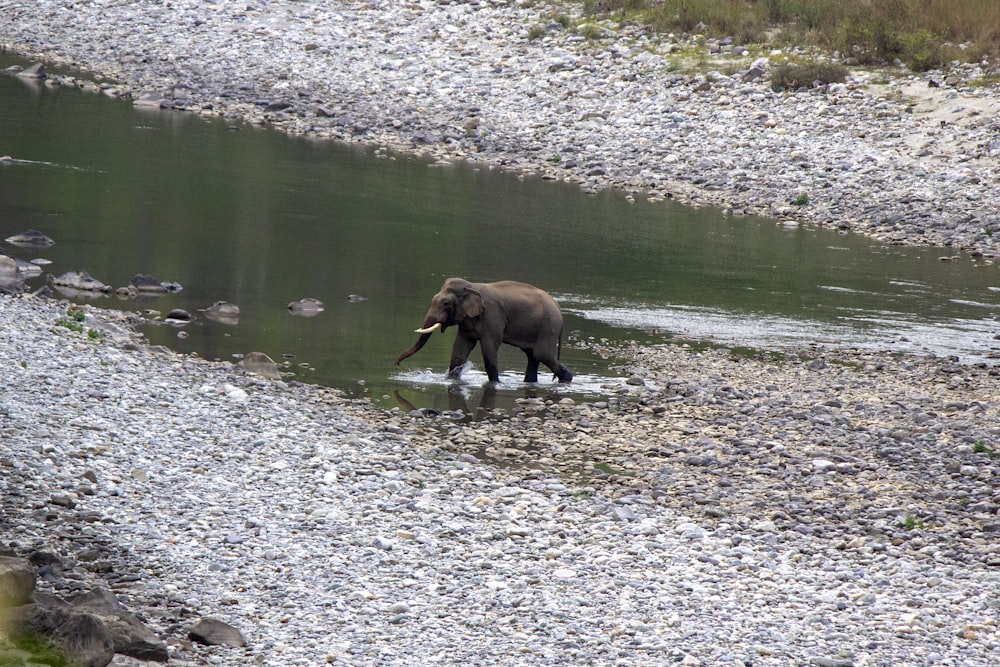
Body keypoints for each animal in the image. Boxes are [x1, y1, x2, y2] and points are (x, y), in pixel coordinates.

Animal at [394, 278, 576, 386]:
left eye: (446, 303)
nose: (397, 363)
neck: (471, 286)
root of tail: (558, 308)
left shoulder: (492, 316)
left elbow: (489, 347)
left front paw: (495, 383)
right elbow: (460, 348)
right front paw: (451, 379)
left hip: (549, 327)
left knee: (541, 354)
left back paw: (567, 379)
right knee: (532, 356)